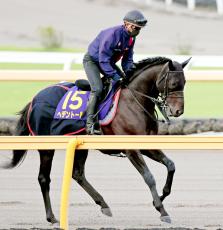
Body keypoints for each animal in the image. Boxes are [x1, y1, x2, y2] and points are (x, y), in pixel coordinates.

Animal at [1, 56, 190, 225]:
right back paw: (52, 217)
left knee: (78, 174)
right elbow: (149, 177)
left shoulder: (145, 145)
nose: (178, 111)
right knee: (44, 178)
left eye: (185, 83)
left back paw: (103, 204)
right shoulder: (131, 149)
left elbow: (171, 165)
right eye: (174, 84)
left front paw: (161, 196)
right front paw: (162, 210)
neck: (134, 101)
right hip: (46, 145)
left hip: (80, 146)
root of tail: (34, 99)